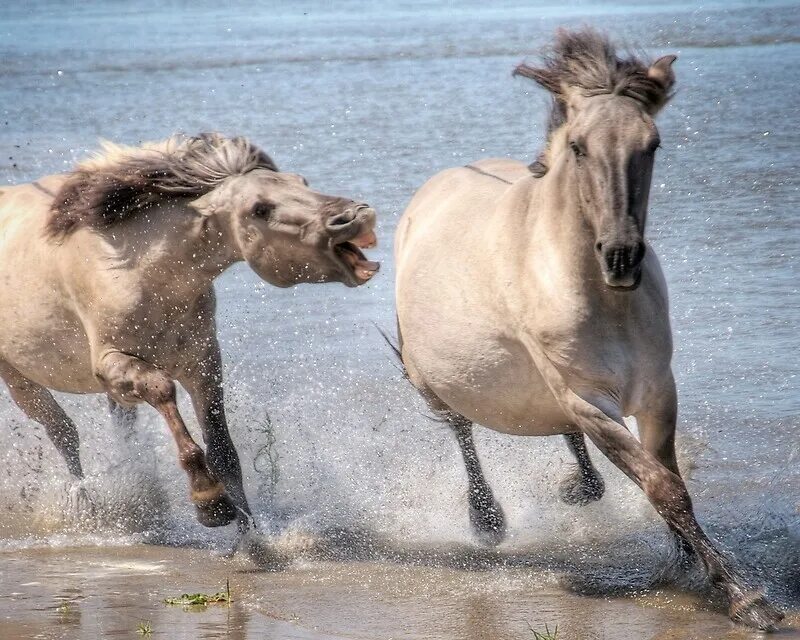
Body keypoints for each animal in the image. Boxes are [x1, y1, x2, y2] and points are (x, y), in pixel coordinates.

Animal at [0, 135, 380, 540]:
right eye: (259, 209)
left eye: (302, 181)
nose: (356, 215)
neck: (141, 269)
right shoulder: (113, 362)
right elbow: (162, 391)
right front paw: (208, 500)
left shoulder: (203, 363)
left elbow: (224, 452)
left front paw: (251, 537)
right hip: (19, 378)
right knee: (63, 433)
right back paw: (86, 507)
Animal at [396, 28, 784, 632]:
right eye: (578, 147)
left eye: (653, 144)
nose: (621, 258)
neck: (603, 300)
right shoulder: (587, 398)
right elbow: (665, 487)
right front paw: (745, 597)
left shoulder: (658, 392)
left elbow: (667, 480)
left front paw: (688, 565)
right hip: (431, 379)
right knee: (462, 430)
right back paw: (487, 519)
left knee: (568, 441)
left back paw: (577, 488)